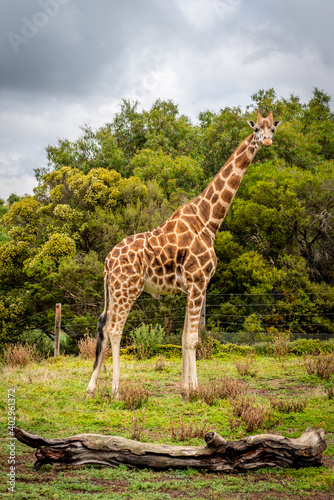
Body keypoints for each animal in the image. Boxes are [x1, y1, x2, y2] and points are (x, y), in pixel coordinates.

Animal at [87, 110, 280, 398]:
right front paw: (196, 390)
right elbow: (192, 339)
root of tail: (107, 262)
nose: (266, 141)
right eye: (256, 128)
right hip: (128, 289)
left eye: (272, 129)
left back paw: (91, 388)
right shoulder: (198, 282)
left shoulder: (191, 286)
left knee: (103, 328)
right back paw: (116, 391)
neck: (209, 220)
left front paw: (183, 388)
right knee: (114, 330)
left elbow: (182, 337)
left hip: (116, 290)